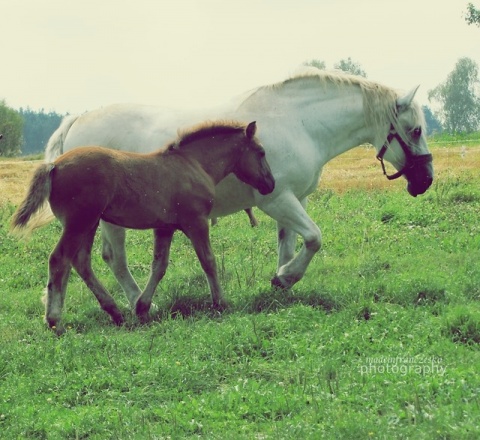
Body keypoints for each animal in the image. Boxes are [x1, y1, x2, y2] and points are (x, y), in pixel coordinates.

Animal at [45, 69, 434, 310]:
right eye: (414, 129)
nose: (426, 180)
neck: (300, 123)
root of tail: (77, 121)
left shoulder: (295, 200)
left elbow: (288, 245)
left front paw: (281, 284)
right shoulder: (277, 200)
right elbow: (314, 239)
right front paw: (286, 277)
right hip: (108, 219)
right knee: (114, 259)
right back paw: (138, 303)